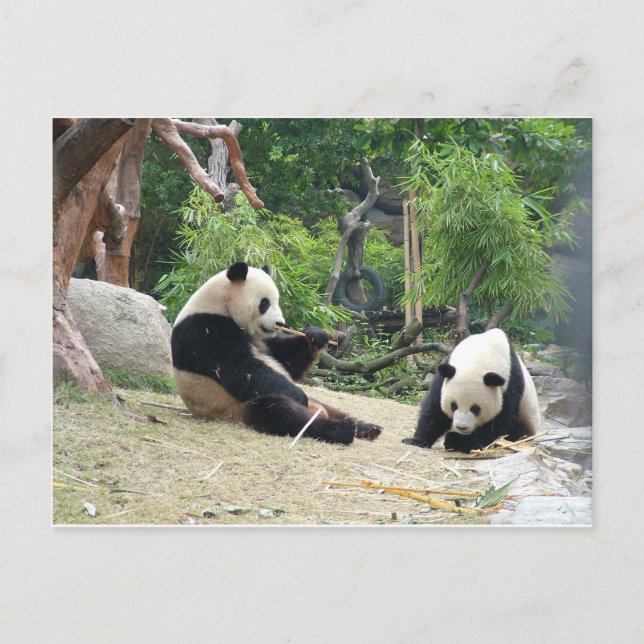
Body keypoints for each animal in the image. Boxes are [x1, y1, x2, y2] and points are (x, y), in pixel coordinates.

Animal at [171, 262, 382, 445]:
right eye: (264, 303)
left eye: (277, 301)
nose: (280, 323)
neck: (219, 303)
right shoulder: (204, 332)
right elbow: (243, 370)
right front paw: (298, 395)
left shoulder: (263, 340)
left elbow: (287, 360)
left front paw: (316, 336)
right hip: (236, 409)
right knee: (281, 411)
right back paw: (342, 430)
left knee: (332, 409)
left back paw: (366, 428)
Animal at [402, 328, 540, 453]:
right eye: (453, 405)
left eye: (475, 408)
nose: (462, 427)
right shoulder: (445, 374)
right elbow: (435, 409)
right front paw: (416, 440)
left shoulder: (510, 385)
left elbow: (498, 420)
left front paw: (478, 446)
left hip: (526, 418)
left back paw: (459, 442)